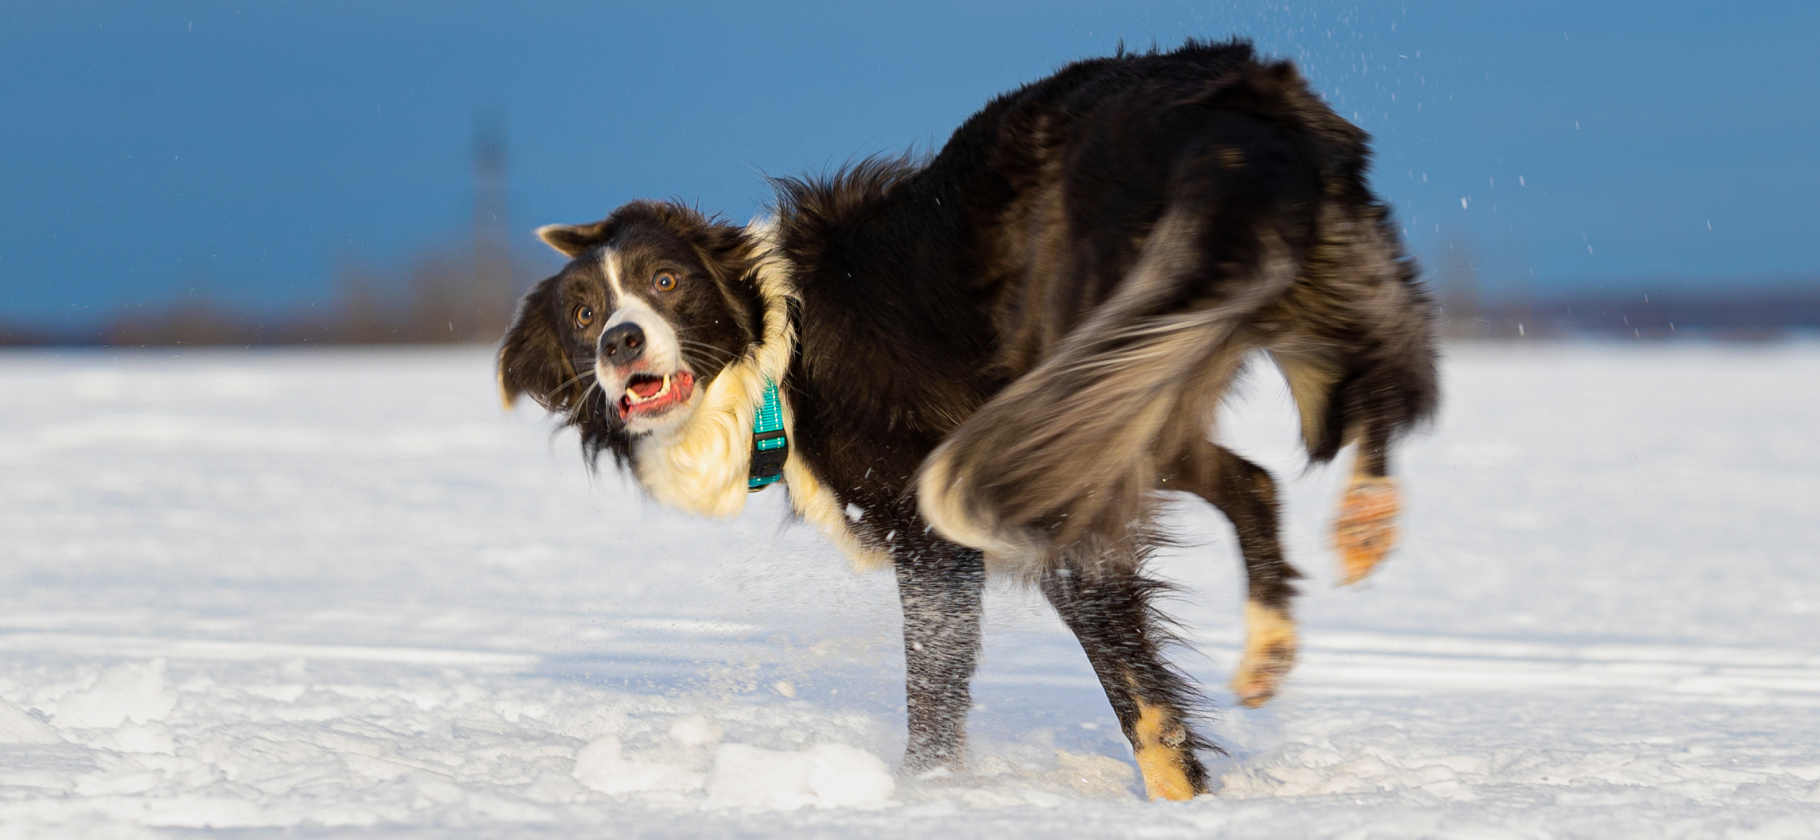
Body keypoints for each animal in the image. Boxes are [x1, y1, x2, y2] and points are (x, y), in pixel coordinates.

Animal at [498, 39, 1434, 800]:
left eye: (665, 283)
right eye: (581, 315)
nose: (619, 343)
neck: (772, 352)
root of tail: (1224, 109)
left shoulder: (940, 531)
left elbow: (953, 682)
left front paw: (930, 795)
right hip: (1142, 367)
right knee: (1291, 449)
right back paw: (1316, 582)